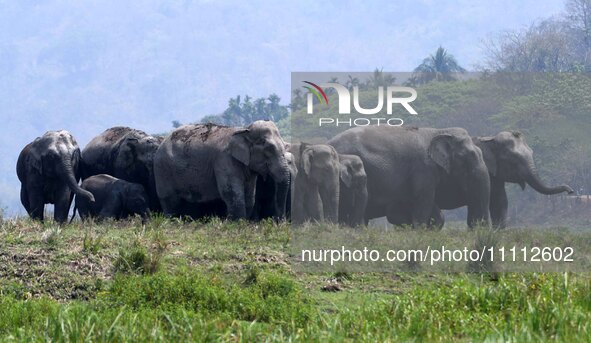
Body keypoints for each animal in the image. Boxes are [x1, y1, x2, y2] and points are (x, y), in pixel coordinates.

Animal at [154, 121, 290, 220]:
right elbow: (231, 193)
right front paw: (238, 223)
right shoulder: (224, 160)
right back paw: (172, 221)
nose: (278, 221)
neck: (244, 130)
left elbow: (250, 195)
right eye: (269, 149)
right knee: (170, 201)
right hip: (163, 170)